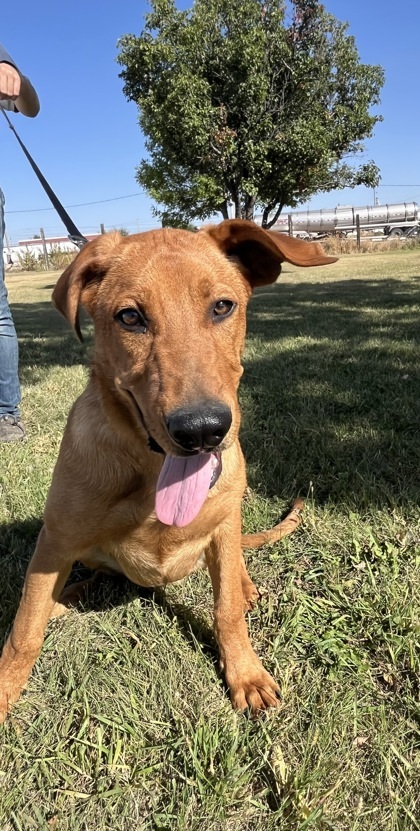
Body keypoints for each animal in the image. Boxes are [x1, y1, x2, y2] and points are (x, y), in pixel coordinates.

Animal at [0, 221, 336, 720]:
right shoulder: (54, 541)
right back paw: (67, 598)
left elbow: (226, 610)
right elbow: (24, 632)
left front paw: (245, 674)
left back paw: (244, 584)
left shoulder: (222, 525)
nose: (202, 431)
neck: (152, 470)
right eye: (129, 317)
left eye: (222, 306)